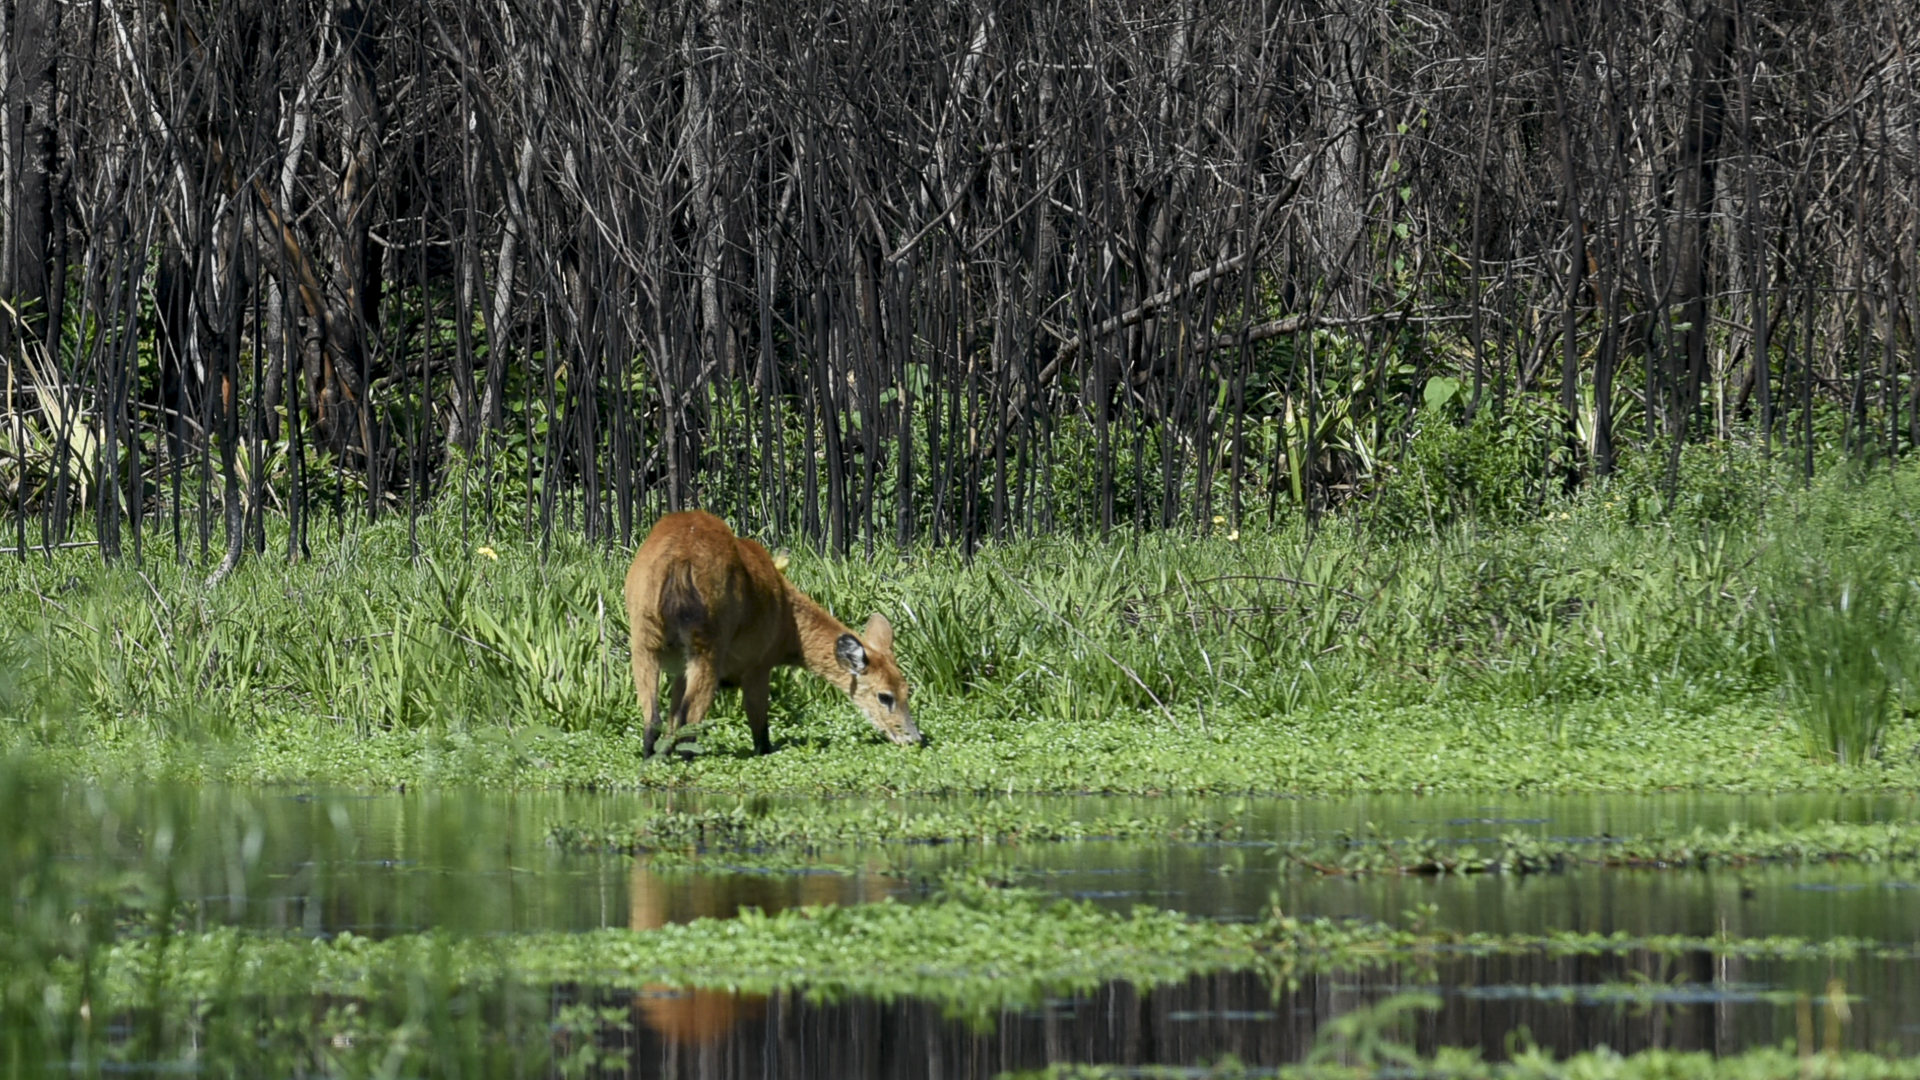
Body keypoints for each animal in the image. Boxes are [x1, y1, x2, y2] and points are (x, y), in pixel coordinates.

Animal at [614, 507, 913, 753]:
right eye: (885, 696)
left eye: (907, 690)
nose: (914, 738)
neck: (787, 626)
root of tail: (679, 559)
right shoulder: (757, 664)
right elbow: (761, 733)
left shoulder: (679, 672)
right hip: (708, 641)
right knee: (690, 724)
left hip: (644, 633)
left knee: (653, 720)